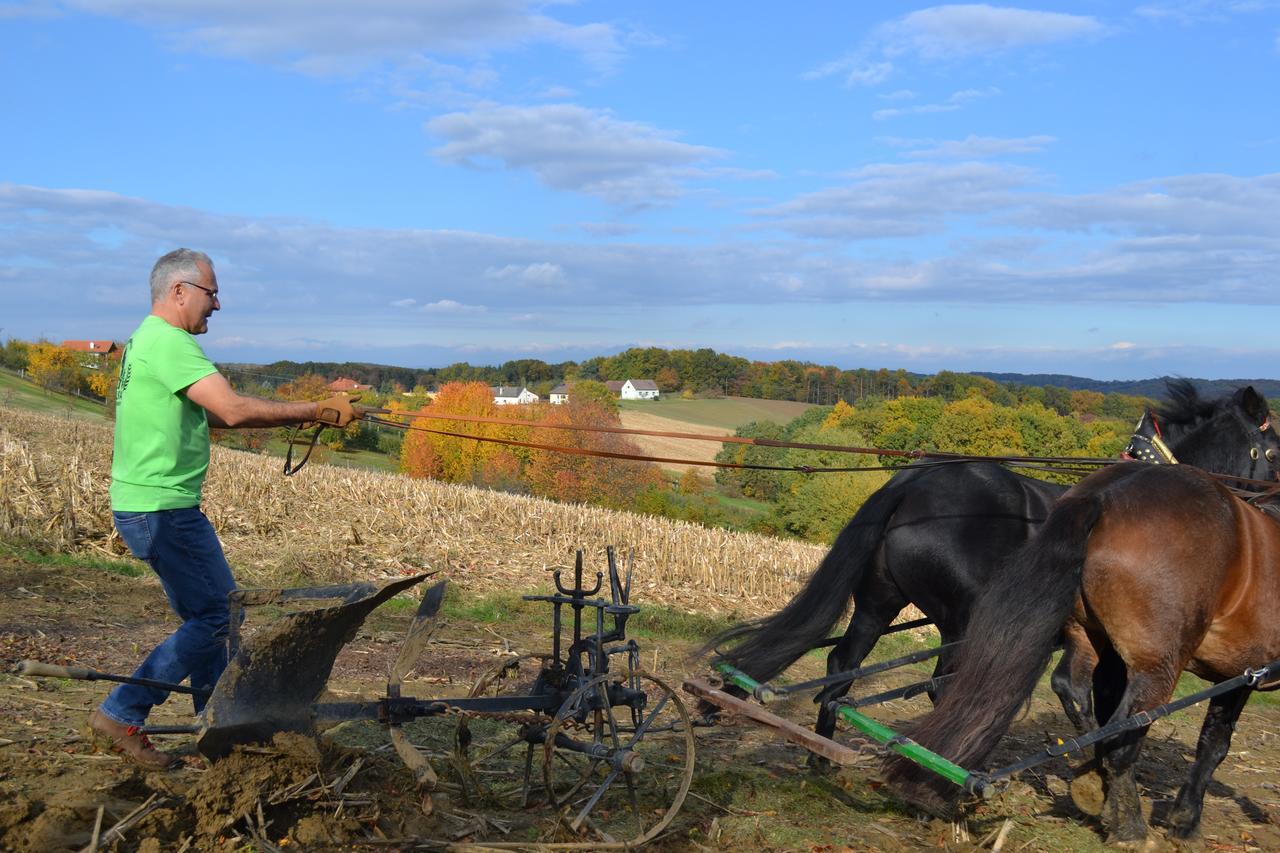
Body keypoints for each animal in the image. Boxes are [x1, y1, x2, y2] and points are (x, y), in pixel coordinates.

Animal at [716, 381, 1274, 742]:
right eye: (1271, 448)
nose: (1271, 505)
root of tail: (911, 482)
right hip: (960, 620)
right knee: (943, 686)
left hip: (878, 603)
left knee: (842, 666)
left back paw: (822, 754)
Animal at [885, 466, 1280, 845]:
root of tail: (1101, 496)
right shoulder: (1240, 673)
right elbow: (1214, 746)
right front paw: (1184, 822)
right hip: (1157, 666)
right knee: (1121, 735)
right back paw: (1128, 825)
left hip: (1085, 634)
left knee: (1072, 691)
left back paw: (1093, 779)